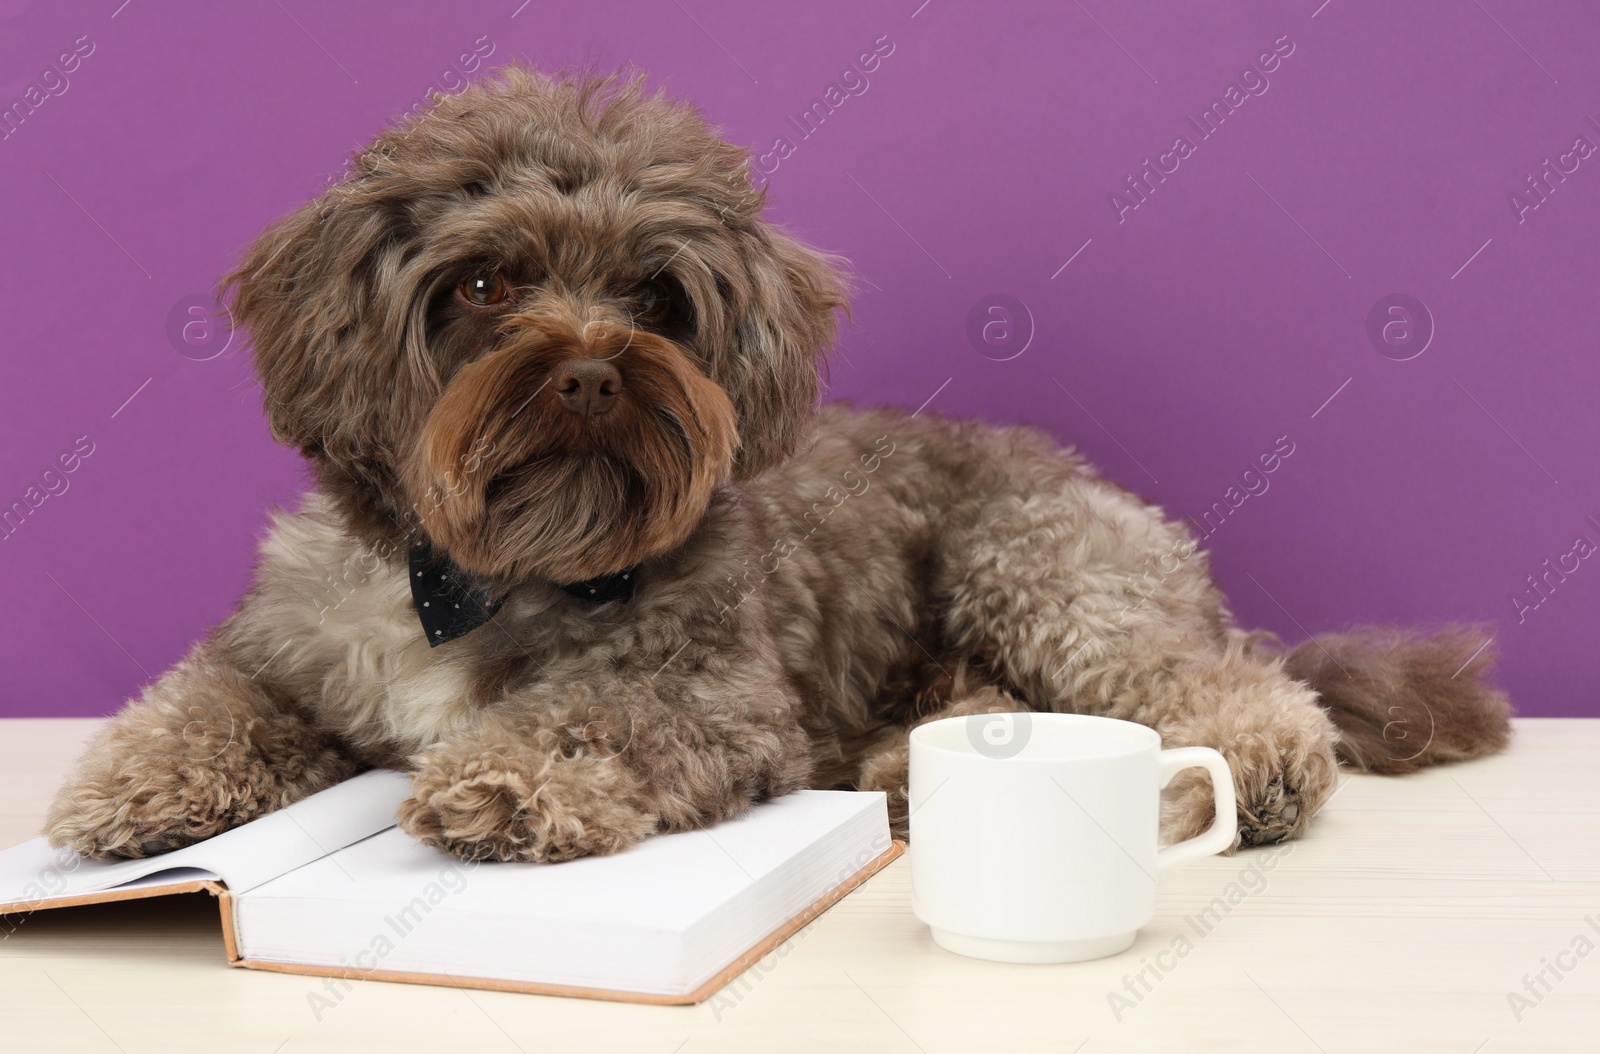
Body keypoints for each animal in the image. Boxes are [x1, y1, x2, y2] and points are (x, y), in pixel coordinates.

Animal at [40, 69, 1510, 863]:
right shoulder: (284, 647)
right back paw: (907, 769)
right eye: (484, 280)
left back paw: (1253, 767)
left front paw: (498, 781)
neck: (490, 567)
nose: (592, 369)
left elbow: (586, 718)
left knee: (1216, 691)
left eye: (656, 294)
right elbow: (203, 702)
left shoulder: (707, 691)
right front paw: (129, 786)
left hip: (1041, 566)